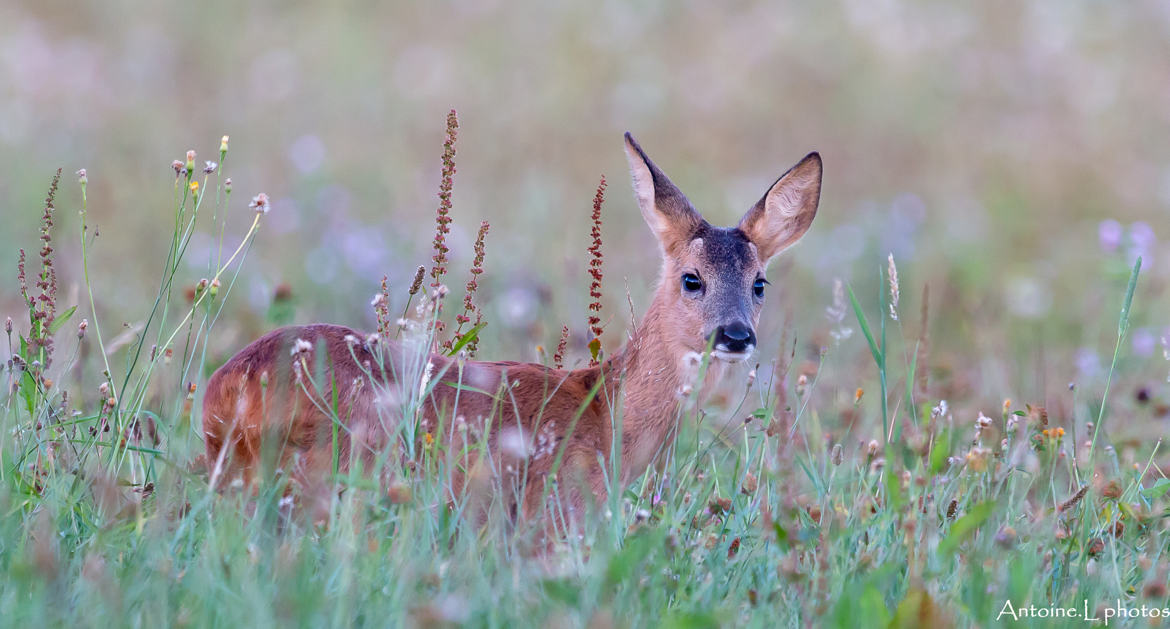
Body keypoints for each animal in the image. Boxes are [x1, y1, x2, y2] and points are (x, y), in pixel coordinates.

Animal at [201, 134, 823, 526]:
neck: (608, 415)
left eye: (760, 283)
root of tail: (225, 389)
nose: (736, 336)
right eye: (692, 279)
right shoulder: (553, 512)